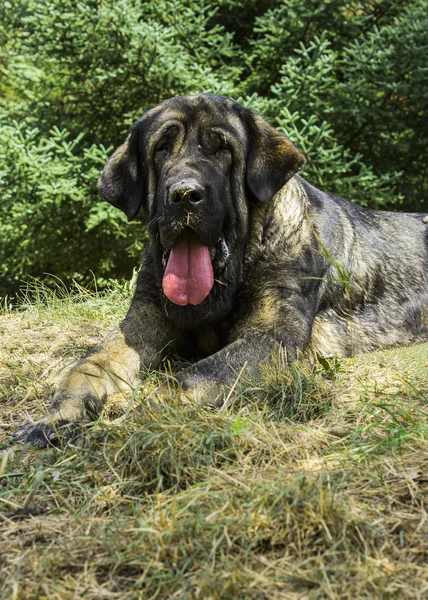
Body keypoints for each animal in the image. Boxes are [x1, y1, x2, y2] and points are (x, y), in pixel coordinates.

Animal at [13, 94, 428, 446]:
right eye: (161, 148)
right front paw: (54, 419)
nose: (184, 194)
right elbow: (86, 366)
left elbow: (189, 378)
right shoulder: (141, 323)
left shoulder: (271, 340)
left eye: (223, 150)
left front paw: (129, 419)